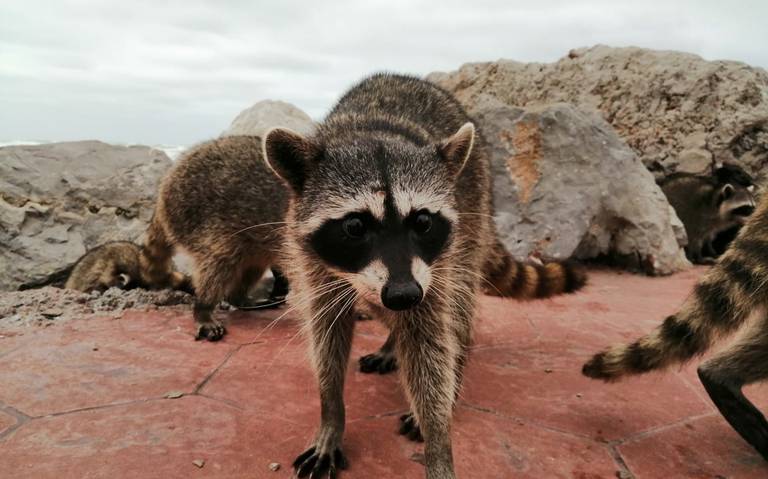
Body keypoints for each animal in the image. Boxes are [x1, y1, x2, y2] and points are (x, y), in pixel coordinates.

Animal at [143, 136, 288, 342]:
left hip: (252, 242)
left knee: (252, 265)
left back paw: (239, 297)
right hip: (199, 218)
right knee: (218, 263)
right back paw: (204, 308)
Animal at [260, 72, 584, 479]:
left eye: (423, 221)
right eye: (355, 226)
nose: (403, 294)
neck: (372, 132)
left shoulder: (429, 271)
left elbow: (429, 343)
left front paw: (438, 439)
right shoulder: (316, 264)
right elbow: (326, 337)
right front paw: (331, 413)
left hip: (468, 220)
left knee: (458, 311)